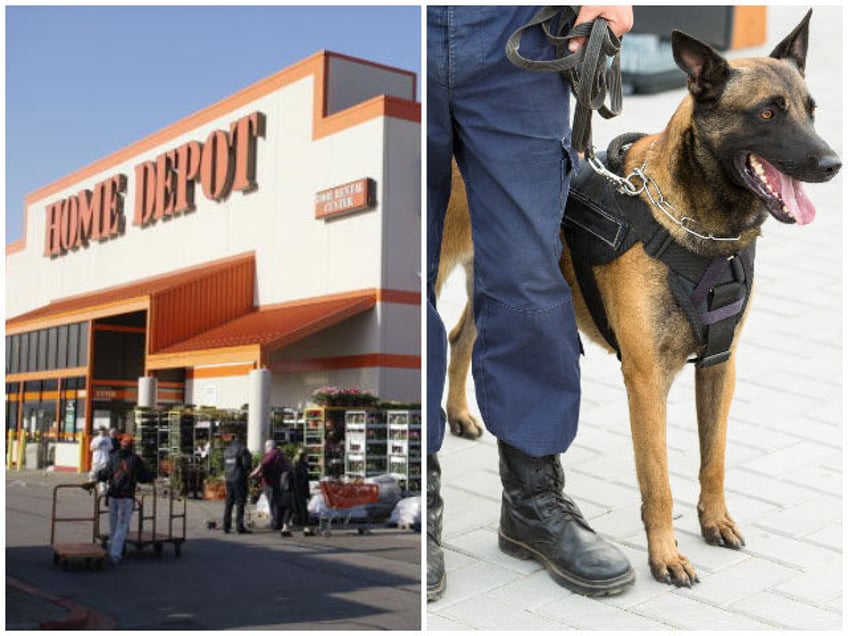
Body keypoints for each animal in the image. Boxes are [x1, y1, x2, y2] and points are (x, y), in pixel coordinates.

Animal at [438, 11, 840, 588]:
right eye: (767, 112)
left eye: (811, 111)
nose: (832, 163)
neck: (697, 228)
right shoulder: (647, 380)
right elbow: (659, 482)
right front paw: (666, 556)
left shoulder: (720, 364)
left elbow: (714, 458)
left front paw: (715, 521)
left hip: (505, 280)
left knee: (460, 336)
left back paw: (458, 414)